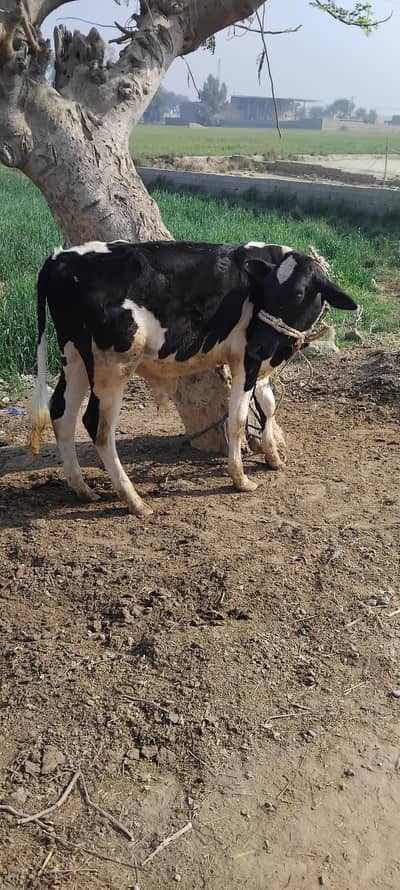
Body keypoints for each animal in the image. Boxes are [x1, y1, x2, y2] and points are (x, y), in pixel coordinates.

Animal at [29, 240, 357, 516]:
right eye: (268, 291)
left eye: (298, 294)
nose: (258, 343)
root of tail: (61, 258)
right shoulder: (247, 359)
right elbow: (238, 419)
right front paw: (240, 478)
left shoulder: (263, 357)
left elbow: (267, 403)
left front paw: (273, 456)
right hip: (112, 366)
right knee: (96, 425)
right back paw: (134, 500)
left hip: (74, 356)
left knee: (62, 413)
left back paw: (81, 488)